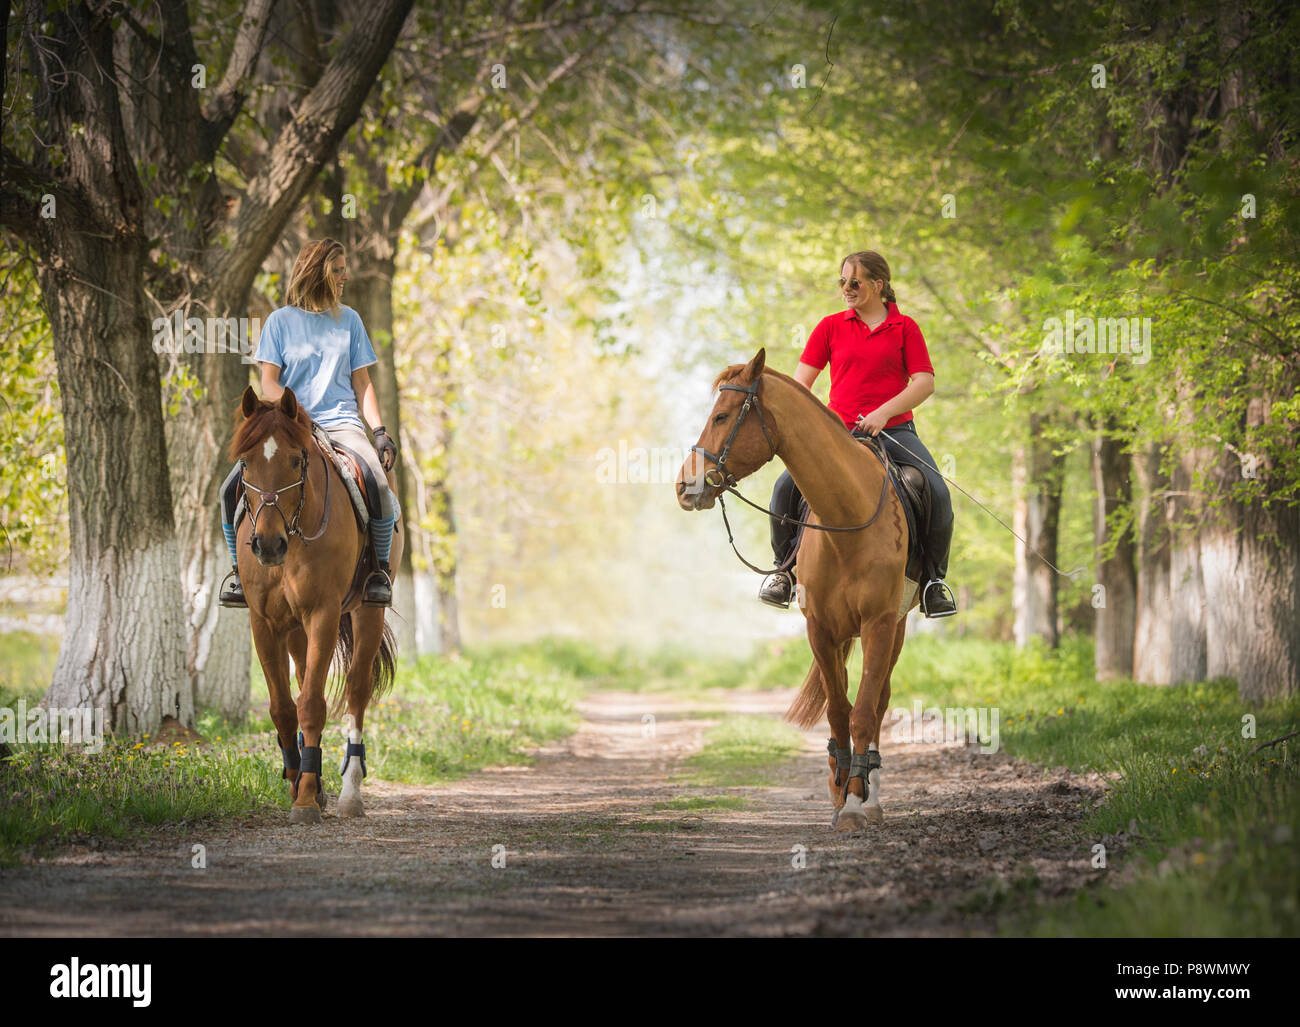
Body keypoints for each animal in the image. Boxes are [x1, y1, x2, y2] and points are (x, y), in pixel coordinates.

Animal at [229, 385, 401, 825]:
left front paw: (306, 800)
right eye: (245, 463)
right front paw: (300, 784)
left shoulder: (323, 614)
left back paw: (349, 793)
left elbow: (310, 704)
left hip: (366, 613)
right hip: (295, 630)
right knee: (307, 675)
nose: (267, 546)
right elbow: (283, 707)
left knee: (357, 690)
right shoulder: (264, 622)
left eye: (295, 460)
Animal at [675, 348, 918, 831]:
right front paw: (841, 795)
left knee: (880, 702)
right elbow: (838, 710)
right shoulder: (820, 628)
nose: (684, 485)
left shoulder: (879, 624)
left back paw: (872, 796)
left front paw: (857, 804)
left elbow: (864, 711)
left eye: (722, 415)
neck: (846, 516)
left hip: (897, 628)